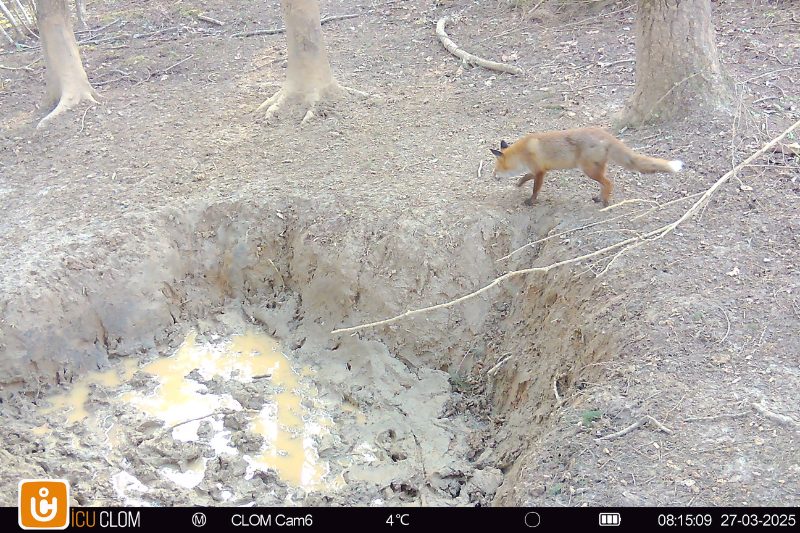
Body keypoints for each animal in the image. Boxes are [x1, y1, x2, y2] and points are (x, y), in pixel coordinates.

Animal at [490, 127, 683, 207]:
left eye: (496, 167)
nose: (492, 176)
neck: (522, 153)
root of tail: (605, 134)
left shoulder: (540, 171)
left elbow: (535, 189)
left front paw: (531, 202)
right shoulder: (539, 170)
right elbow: (526, 177)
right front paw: (518, 184)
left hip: (589, 170)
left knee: (609, 183)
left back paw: (605, 202)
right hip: (597, 168)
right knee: (605, 183)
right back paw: (599, 198)